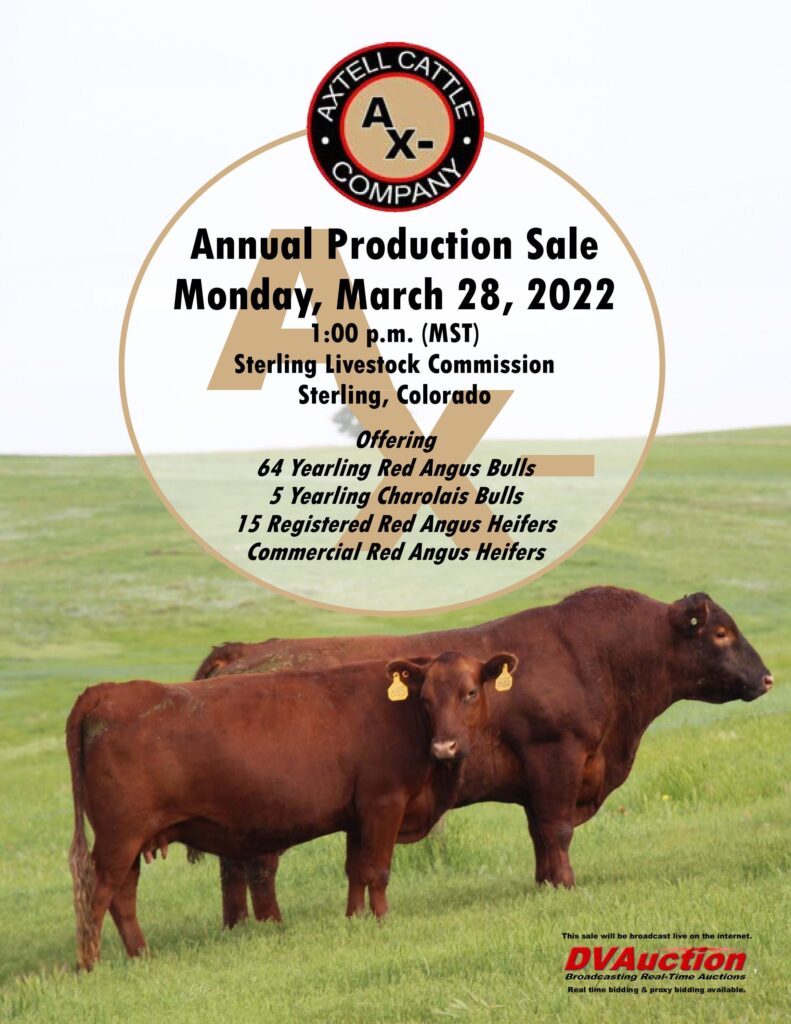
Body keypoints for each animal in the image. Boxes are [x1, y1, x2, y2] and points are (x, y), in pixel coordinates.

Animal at [66, 650, 516, 969]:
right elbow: (377, 870)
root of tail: (107, 691)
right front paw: (382, 921)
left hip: (131, 840)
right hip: (119, 837)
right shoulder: (384, 803)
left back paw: (141, 956)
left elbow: (355, 870)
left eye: (470, 693)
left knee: (123, 896)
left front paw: (354, 919)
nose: (445, 746)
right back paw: (91, 964)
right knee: (98, 893)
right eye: (424, 698)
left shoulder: (358, 816)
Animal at [193, 587, 773, 924]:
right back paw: (269, 924)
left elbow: (540, 833)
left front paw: (544, 883)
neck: (597, 656)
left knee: (233, 869)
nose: (767, 677)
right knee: (257, 866)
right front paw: (566, 886)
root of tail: (245, 652)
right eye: (722, 632)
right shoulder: (556, 756)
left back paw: (241, 926)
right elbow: (558, 829)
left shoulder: (538, 780)